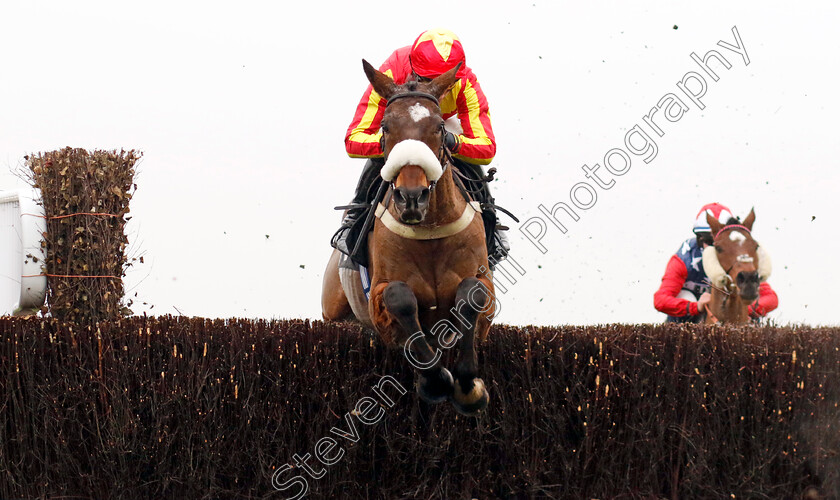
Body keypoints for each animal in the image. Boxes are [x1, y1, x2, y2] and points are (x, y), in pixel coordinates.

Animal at [320, 60, 492, 416]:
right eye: (385, 127)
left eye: (439, 127)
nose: (411, 197)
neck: (430, 228)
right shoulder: (378, 299)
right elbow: (399, 297)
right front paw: (436, 380)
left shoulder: (486, 286)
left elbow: (473, 293)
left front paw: (469, 388)